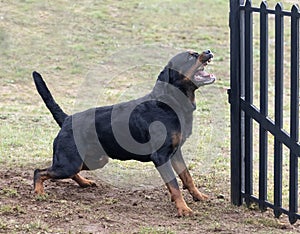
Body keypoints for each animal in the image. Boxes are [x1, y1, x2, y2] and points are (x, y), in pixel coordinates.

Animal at [33, 50, 216, 217]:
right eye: (190, 57)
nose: (208, 51)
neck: (170, 102)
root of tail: (67, 119)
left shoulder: (175, 153)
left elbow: (187, 177)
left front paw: (199, 197)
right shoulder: (161, 156)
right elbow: (175, 185)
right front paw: (183, 209)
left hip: (94, 160)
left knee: (71, 172)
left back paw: (84, 182)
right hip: (70, 162)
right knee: (40, 172)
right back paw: (39, 192)